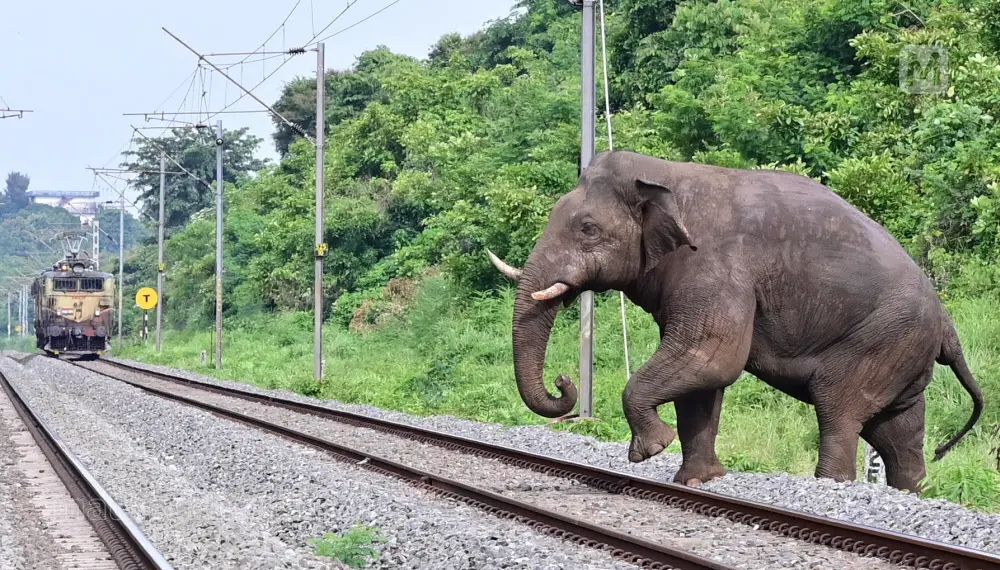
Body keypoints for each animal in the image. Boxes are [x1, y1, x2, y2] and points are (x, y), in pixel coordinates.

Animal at [488, 149, 984, 492]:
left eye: (587, 228)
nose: (563, 382)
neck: (664, 174)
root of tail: (947, 322)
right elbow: (702, 382)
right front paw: (698, 481)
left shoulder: (715, 270)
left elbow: (710, 357)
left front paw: (651, 449)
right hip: (903, 350)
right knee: (898, 429)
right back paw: (912, 491)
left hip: (882, 339)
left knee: (839, 407)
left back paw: (831, 484)